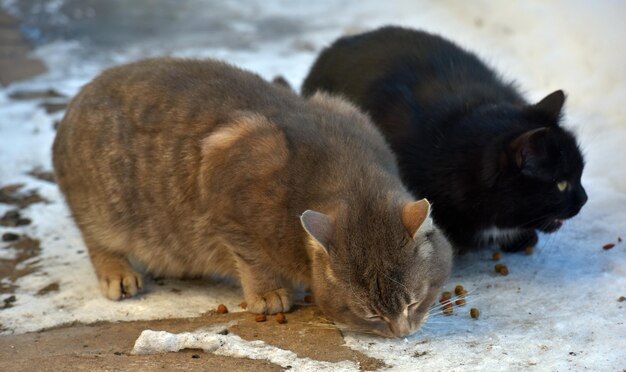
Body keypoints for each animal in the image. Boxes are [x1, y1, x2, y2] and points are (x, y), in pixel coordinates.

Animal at [52, 58, 448, 338]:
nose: (402, 333)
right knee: (98, 240)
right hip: (105, 212)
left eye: (414, 302)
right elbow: (251, 256)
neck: (344, 175)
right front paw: (268, 291)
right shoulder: (225, 198)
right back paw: (117, 272)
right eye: (371, 315)